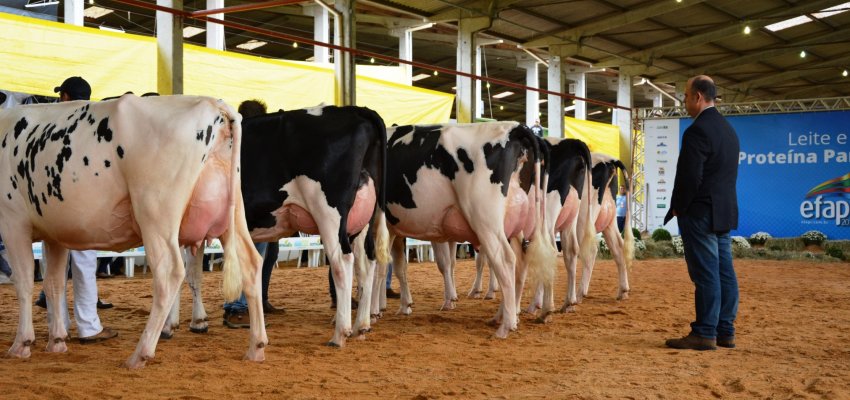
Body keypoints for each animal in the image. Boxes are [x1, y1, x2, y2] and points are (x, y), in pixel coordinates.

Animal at [0, 94, 263, 369]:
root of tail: (214, 104)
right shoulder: (54, 233)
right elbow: (54, 283)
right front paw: (57, 341)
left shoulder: (12, 220)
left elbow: (24, 282)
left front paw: (22, 343)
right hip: (233, 212)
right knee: (251, 263)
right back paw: (256, 347)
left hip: (155, 212)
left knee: (169, 272)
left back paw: (140, 353)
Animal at [167, 104, 388, 347]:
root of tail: (354, 109)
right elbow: (193, 274)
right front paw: (197, 322)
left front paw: (168, 326)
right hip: (361, 221)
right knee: (366, 263)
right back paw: (361, 325)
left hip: (329, 213)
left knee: (342, 262)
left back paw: (340, 333)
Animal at [370, 122, 557, 339]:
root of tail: (515, 128)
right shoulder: (394, 229)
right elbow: (397, 268)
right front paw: (401, 306)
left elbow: (376, 269)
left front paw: (373, 312)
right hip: (519, 224)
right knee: (527, 259)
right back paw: (516, 315)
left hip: (486, 220)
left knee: (506, 260)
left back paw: (506, 325)